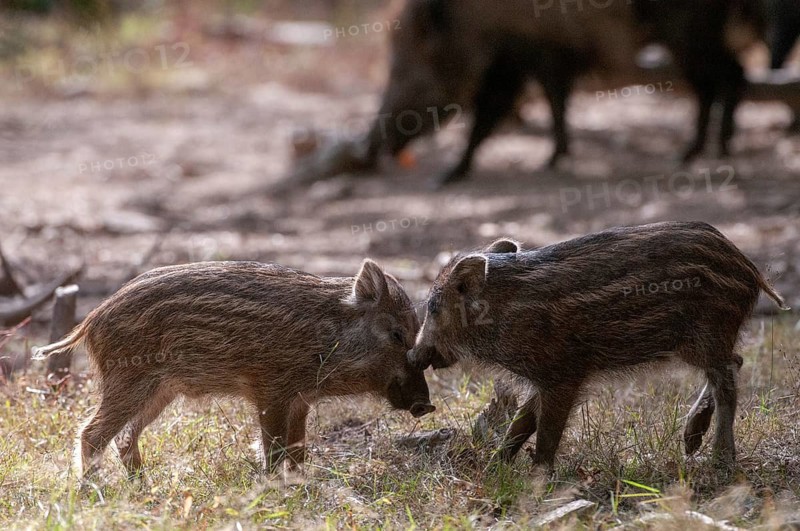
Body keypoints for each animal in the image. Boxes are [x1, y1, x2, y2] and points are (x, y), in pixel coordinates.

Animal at [33, 260, 434, 478]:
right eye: (397, 334)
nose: (427, 405)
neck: (326, 335)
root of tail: (91, 319)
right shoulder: (271, 390)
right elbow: (274, 448)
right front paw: (277, 489)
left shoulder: (300, 399)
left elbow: (298, 450)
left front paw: (300, 484)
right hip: (129, 381)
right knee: (92, 433)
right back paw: (93, 490)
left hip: (160, 391)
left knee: (124, 438)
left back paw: (143, 487)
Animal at [360, 0, 764, 187]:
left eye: (405, 73)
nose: (370, 147)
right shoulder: (526, 57)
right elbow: (553, 102)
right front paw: (555, 158)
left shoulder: (532, 51)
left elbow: (508, 108)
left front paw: (447, 175)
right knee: (715, 83)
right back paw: (692, 153)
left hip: (689, 32)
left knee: (731, 75)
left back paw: (712, 150)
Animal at [408, 222, 788, 470]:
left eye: (433, 307)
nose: (413, 354)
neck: (501, 310)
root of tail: (749, 267)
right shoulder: (546, 376)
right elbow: (522, 422)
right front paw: (495, 467)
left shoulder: (563, 374)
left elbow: (547, 431)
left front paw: (537, 479)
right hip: (705, 341)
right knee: (735, 362)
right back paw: (691, 442)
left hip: (706, 334)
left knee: (727, 378)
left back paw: (720, 460)